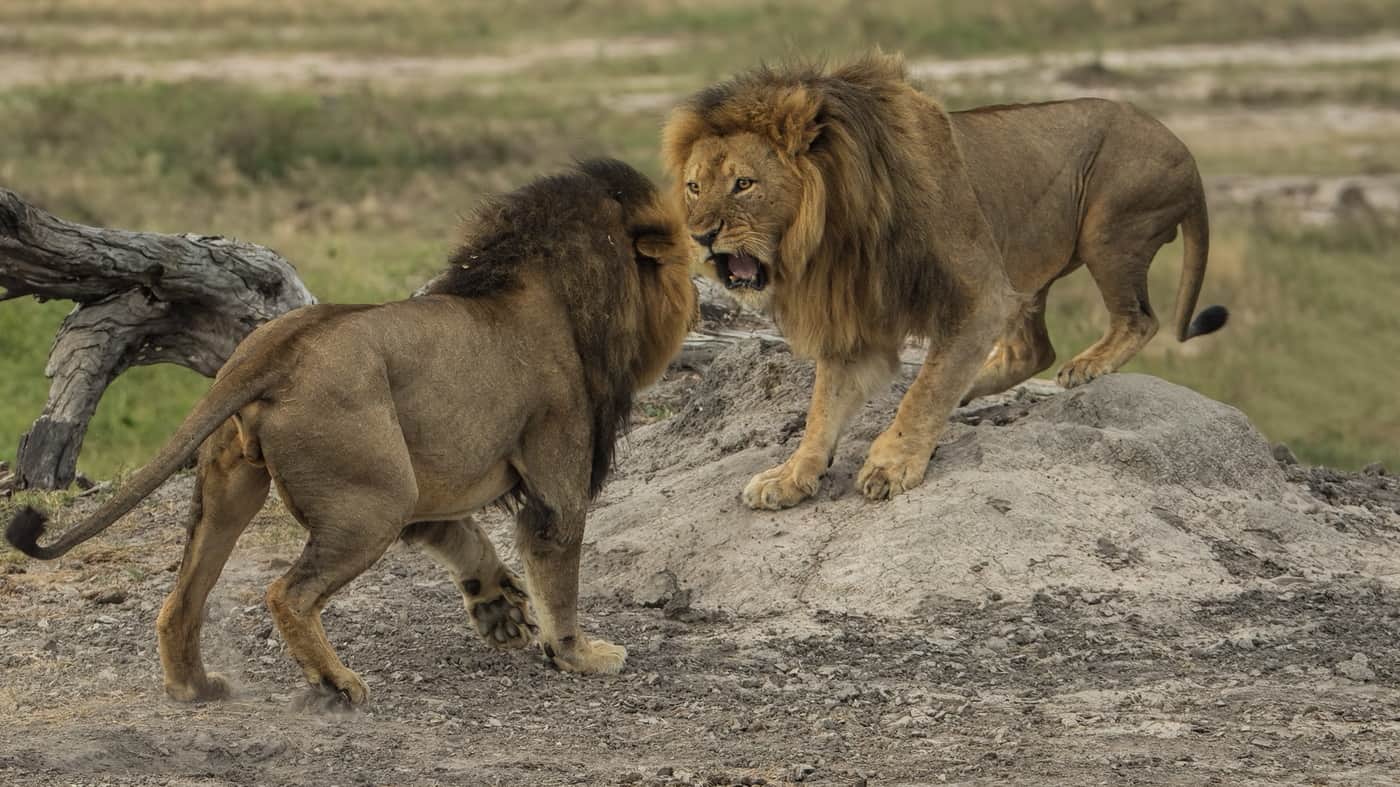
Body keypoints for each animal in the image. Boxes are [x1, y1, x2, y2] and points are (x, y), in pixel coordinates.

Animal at [5, 158, 698, 706]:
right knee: (287, 592)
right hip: (373, 501)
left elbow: (467, 539)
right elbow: (559, 574)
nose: (696, 294)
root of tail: (273, 351)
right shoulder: (554, 469)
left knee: (182, 598)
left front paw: (500, 611)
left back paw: (194, 687)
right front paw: (579, 655)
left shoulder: (427, 486)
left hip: (243, 485)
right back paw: (336, 683)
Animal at [662, 54, 1228, 511]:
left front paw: (892, 463)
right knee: (1032, 350)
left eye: (744, 184)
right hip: (1028, 261)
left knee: (1139, 319)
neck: (830, 233)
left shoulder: (980, 293)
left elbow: (924, 391)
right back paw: (976, 387)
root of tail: (1187, 153)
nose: (701, 235)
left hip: (1108, 229)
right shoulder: (856, 322)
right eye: (693, 187)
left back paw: (1086, 365)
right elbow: (823, 408)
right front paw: (792, 475)